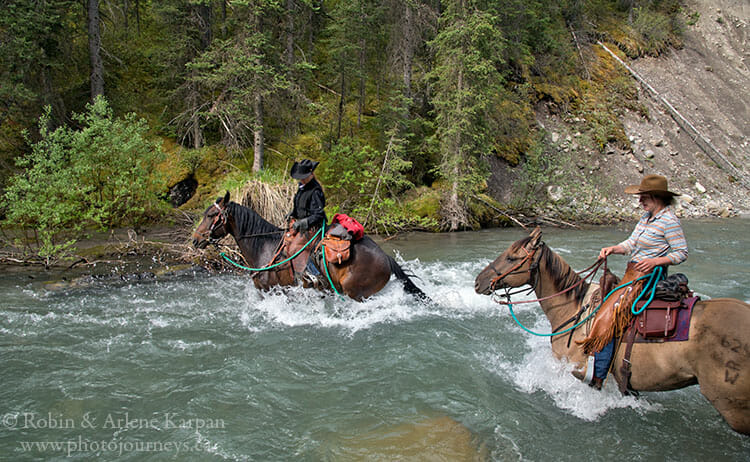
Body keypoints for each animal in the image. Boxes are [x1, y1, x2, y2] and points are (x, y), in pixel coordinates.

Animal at [191, 189, 432, 302]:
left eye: (211, 215)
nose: (195, 239)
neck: (263, 247)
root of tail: (386, 258)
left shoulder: (275, 291)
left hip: (356, 293)